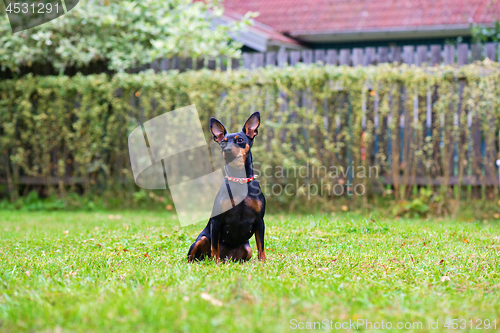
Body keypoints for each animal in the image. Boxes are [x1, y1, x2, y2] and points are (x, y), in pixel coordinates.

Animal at [188, 111, 266, 262]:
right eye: (223, 141)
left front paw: (264, 263)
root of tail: (227, 258)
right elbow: (215, 248)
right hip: (201, 239)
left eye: (240, 140)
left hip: (247, 250)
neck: (239, 179)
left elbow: (261, 247)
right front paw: (216, 265)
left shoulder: (260, 221)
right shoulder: (216, 221)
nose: (227, 150)